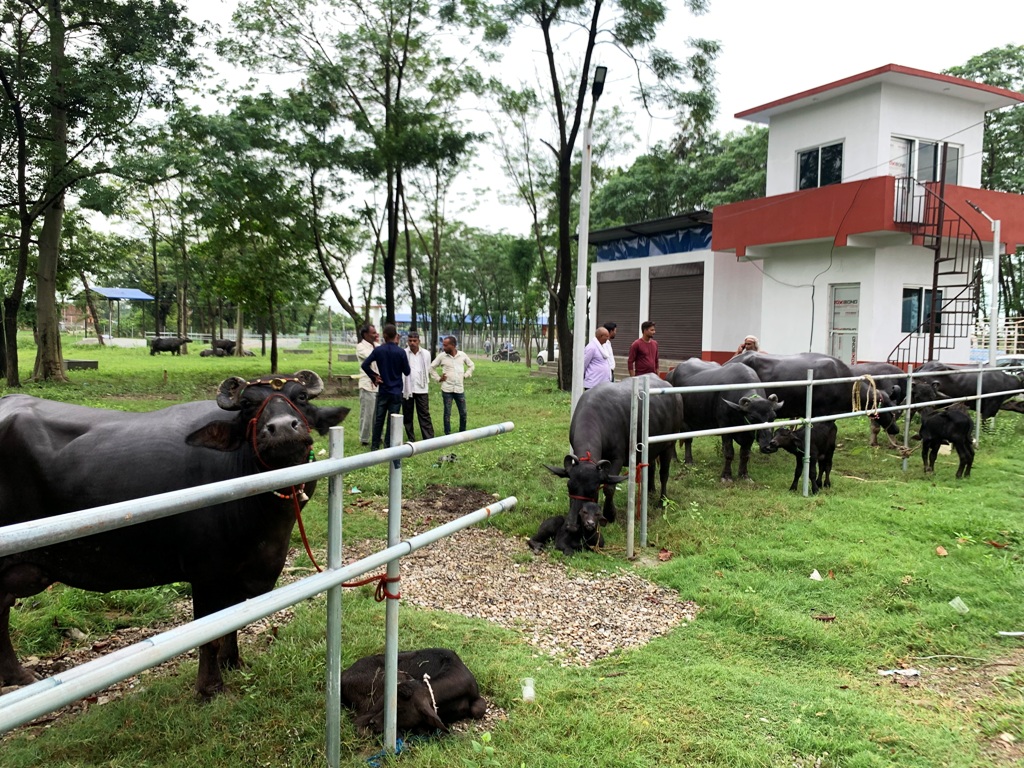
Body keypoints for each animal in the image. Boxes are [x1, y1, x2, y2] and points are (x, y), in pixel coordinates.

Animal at [0, 370, 348, 700]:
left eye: (300, 397)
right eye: (249, 404)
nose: (284, 428)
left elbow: (234, 621)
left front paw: (233, 662)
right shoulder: (207, 575)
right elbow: (210, 633)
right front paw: (210, 687)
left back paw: (15, 676)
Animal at [548, 376, 684, 532]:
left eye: (593, 490)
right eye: (569, 486)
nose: (571, 526)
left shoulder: (617, 458)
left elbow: (609, 487)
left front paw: (610, 514)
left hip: (669, 445)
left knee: (664, 474)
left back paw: (662, 501)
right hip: (651, 447)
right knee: (651, 467)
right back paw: (650, 490)